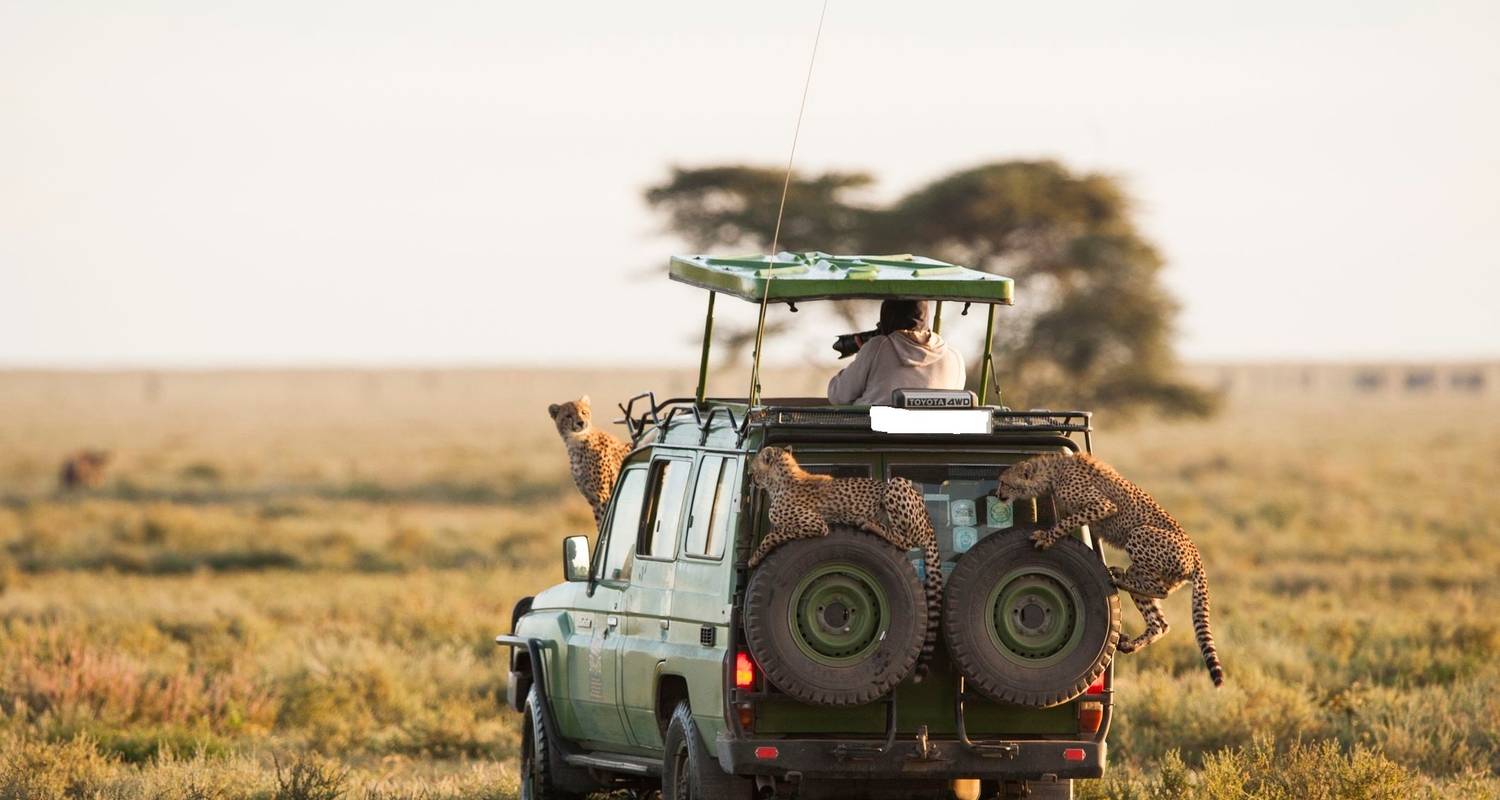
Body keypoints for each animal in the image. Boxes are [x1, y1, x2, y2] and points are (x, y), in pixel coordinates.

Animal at [549, 393, 630, 531]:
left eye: (584, 412)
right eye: (568, 415)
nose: (580, 422)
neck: (576, 443)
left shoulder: (603, 496)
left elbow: (604, 525)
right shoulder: (593, 499)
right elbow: (599, 524)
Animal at [990, 453, 1224, 684]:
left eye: (1004, 482)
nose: (998, 494)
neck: (1051, 473)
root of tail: (1196, 555)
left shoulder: (1103, 505)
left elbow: (1068, 522)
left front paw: (1046, 538)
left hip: (1140, 534)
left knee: (1160, 590)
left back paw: (1117, 577)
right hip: (1145, 575)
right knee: (1160, 623)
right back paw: (1130, 641)